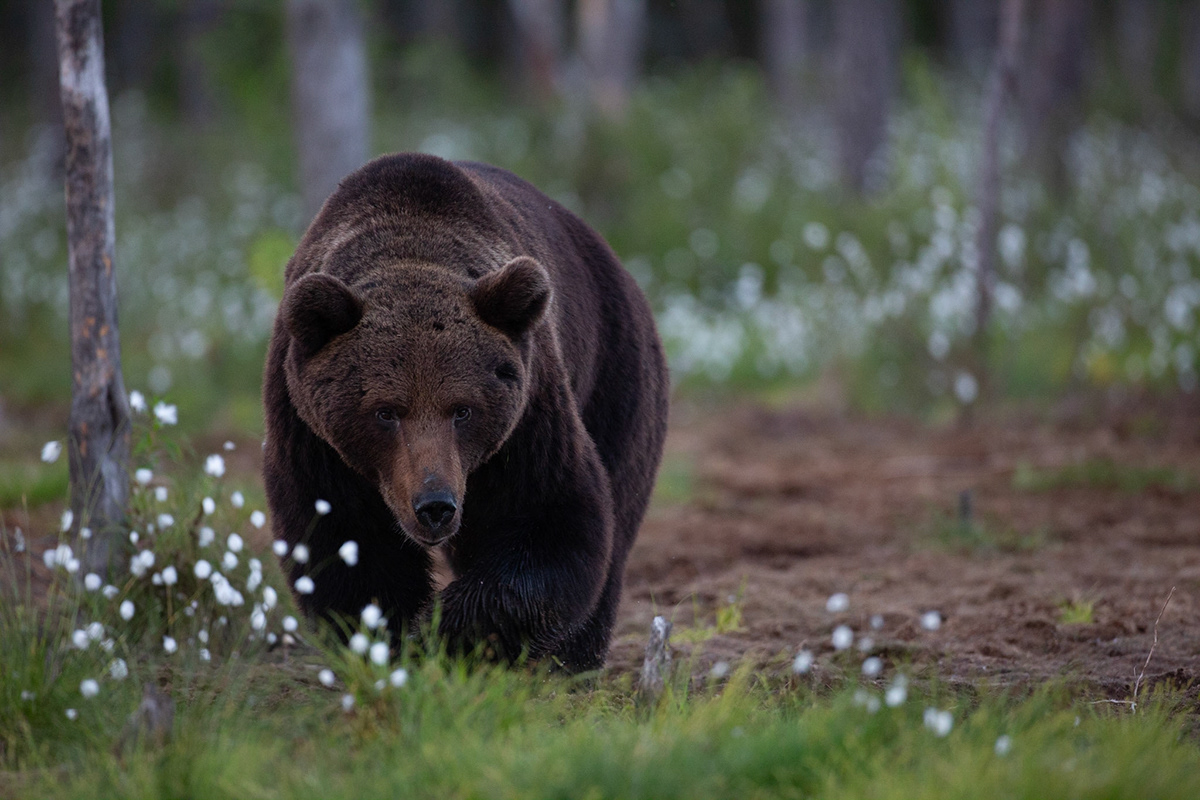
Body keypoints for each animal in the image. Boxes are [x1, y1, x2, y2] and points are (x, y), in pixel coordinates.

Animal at [262, 153, 672, 671]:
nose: (435, 505)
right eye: (385, 412)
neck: (410, 244)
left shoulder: (529, 421)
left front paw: (442, 634)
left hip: (616, 379)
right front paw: (388, 639)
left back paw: (573, 660)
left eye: (462, 410)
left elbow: (551, 519)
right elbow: (342, 542)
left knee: (617, 509)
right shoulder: (312, 438)